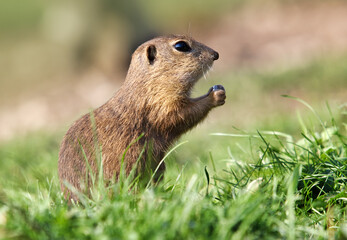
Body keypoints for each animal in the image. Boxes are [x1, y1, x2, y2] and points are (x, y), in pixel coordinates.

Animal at [58, 35, 227, 201]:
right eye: (181, 46)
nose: (216, 54)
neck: (147, 85)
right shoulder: (161, 104)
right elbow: (181, 115)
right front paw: (216, 95)